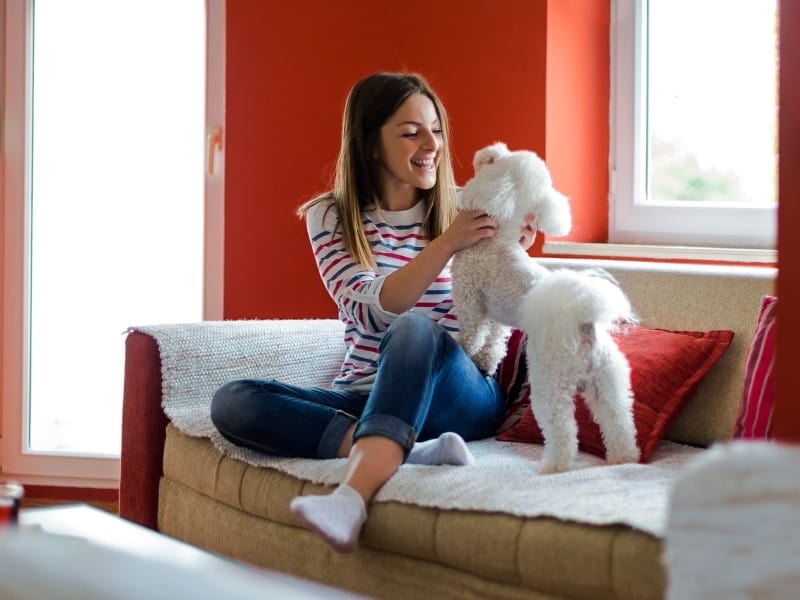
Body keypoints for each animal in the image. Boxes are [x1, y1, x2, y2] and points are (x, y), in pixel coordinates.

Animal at [454, 142, 640, 474]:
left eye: (493, 161)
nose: (485, 153)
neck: (498, 239)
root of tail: (584, 324)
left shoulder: (469, 293)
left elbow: (473, 333)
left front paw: (462, 347)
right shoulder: (498, 317)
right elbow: (494, 342)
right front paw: (486, 361)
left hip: (549, 385)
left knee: (563, 432)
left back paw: (554, 466)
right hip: (608, 383)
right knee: (619, 422)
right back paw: (624, 458)